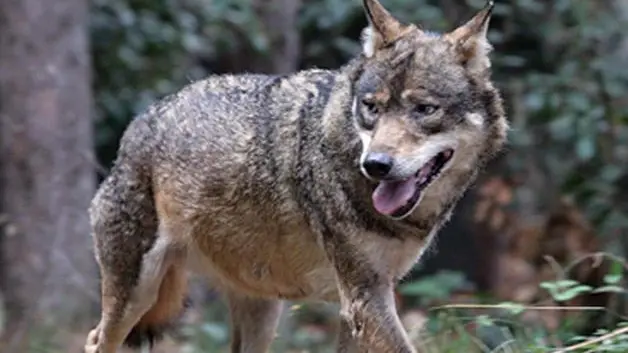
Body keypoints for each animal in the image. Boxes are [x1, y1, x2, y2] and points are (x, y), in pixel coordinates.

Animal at [83, 0, 508, 350]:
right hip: (135, 296)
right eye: (371, 107)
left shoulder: (358, 304)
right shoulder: (364, 296)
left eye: (424, 109)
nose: (376, 164)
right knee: (94, 340)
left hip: (261, 310)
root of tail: (142, 120)